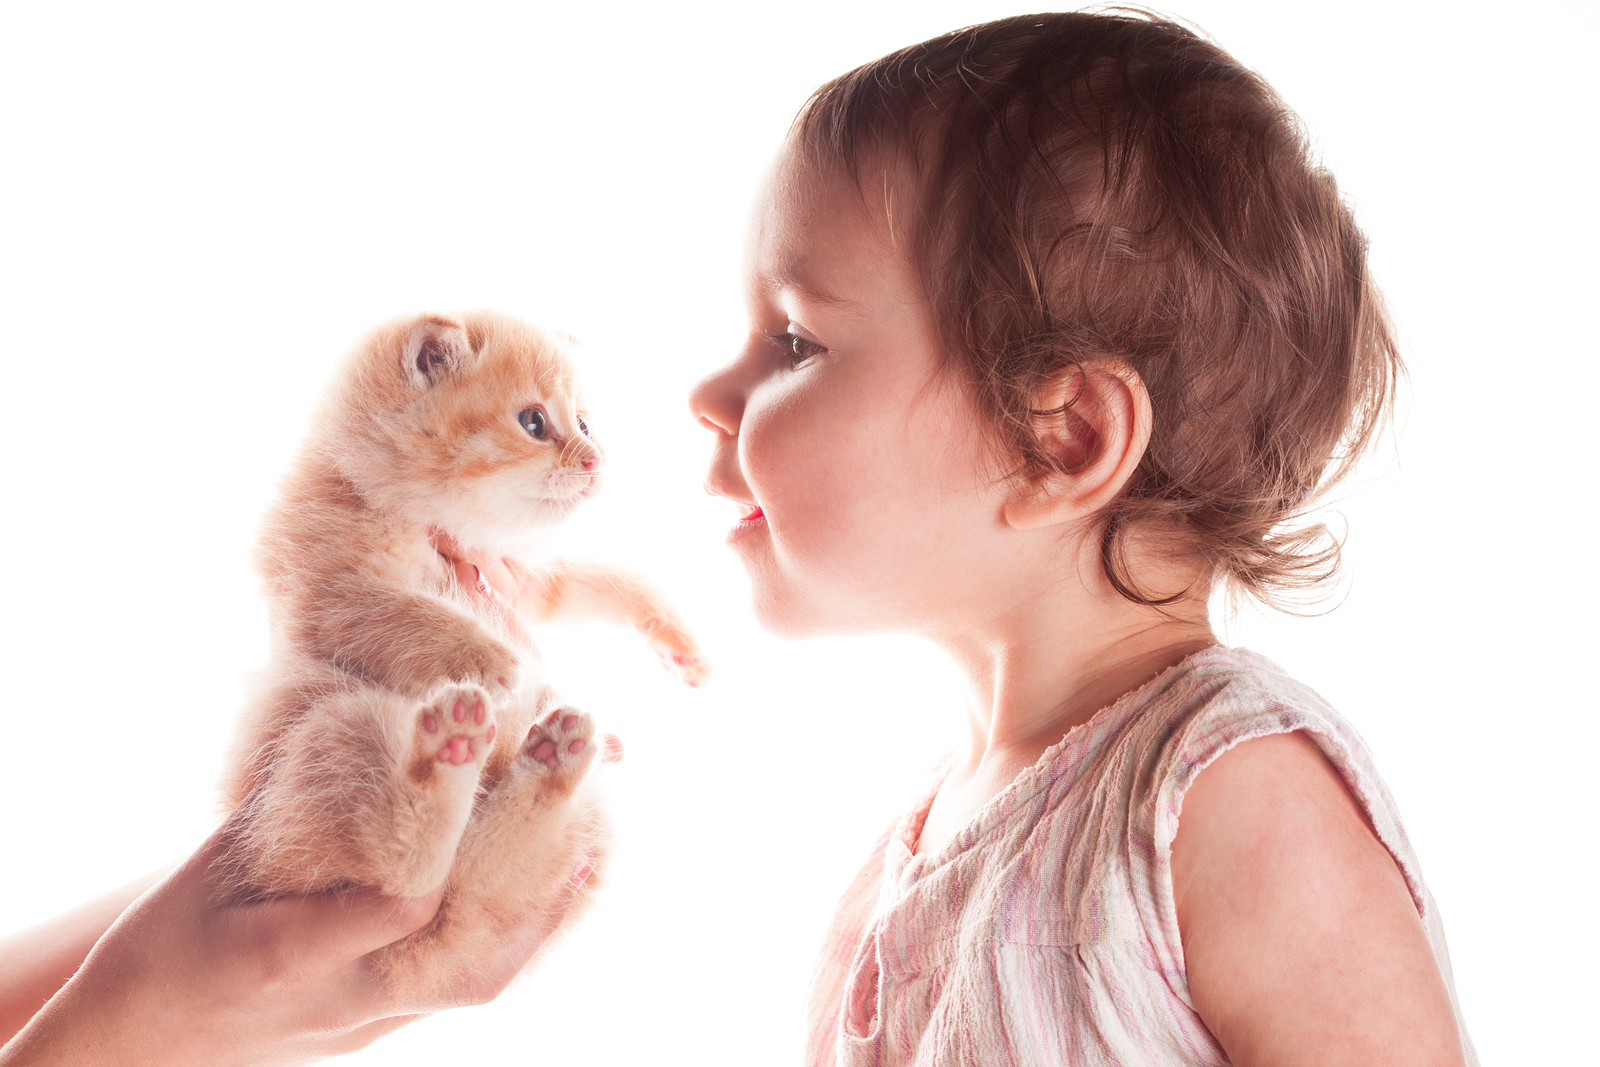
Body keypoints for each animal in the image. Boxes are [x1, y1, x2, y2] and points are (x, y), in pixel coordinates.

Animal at [216, 310, 704, 1004]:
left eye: (584, 423)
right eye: (534, 422)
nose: (595, 459)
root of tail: (419, 968)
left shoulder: (520, 577)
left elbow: (601, 580)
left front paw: (676, 641)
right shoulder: (332, 595)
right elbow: (408, 616)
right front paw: (494, 662)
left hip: (576, 832)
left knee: (479, 878)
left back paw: (550, 760)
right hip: (333, 727)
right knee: (410, 874)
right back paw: (450, 753)